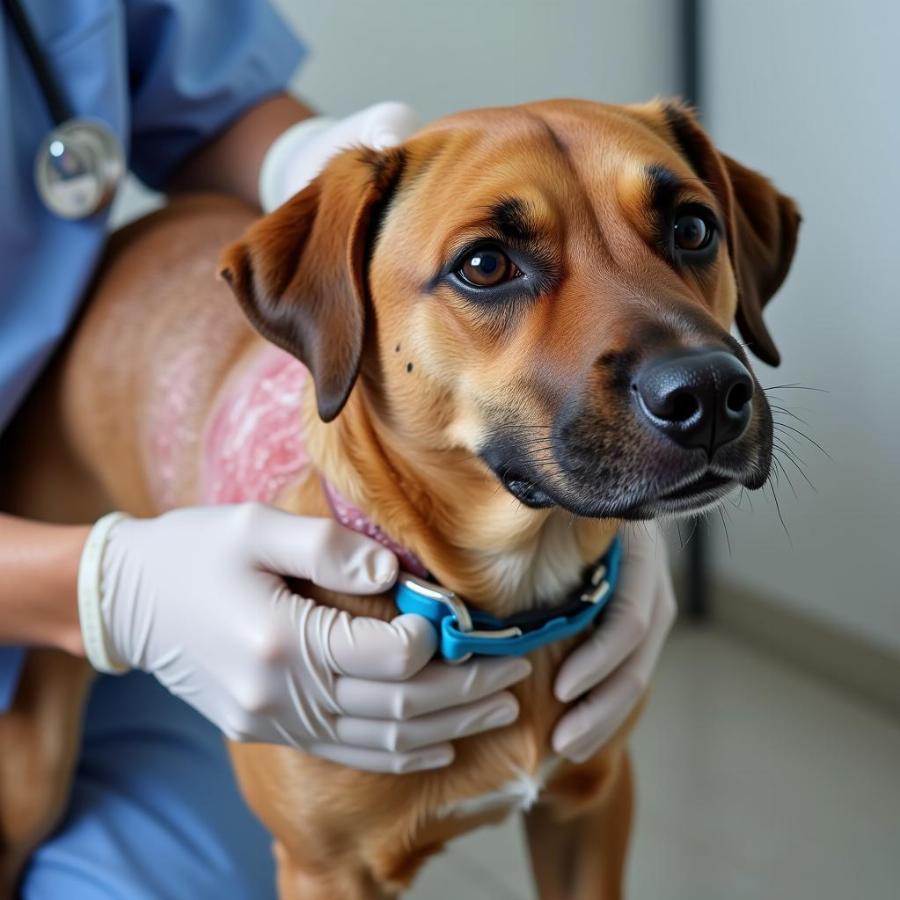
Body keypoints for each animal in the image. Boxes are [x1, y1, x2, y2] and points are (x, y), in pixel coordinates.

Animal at [0, 100, 800, 900]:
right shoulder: (327, 872)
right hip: (34, 767)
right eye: (484, 265)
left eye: (693, 228)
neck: (505, 606)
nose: (707, 395)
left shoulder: (590, 806)